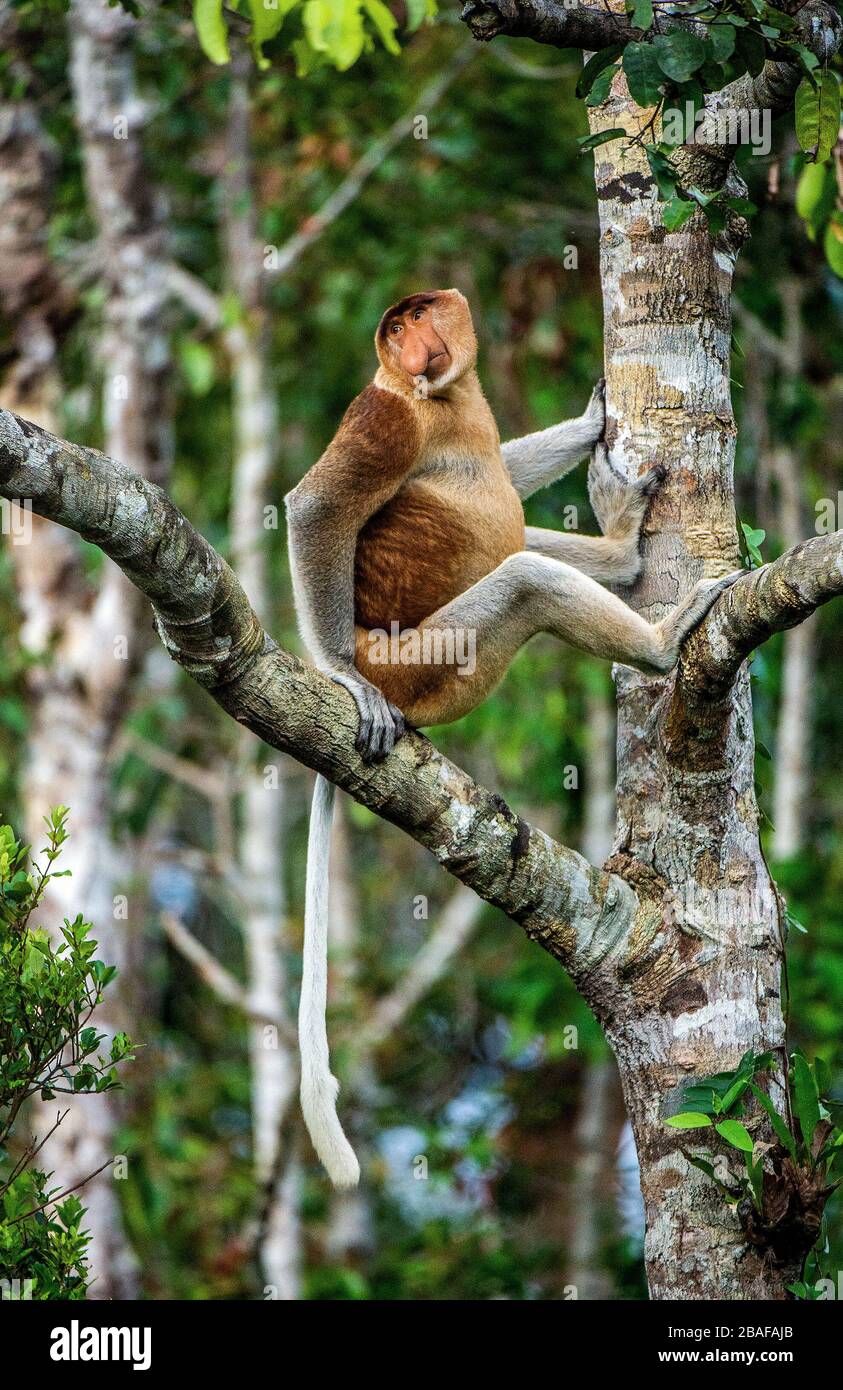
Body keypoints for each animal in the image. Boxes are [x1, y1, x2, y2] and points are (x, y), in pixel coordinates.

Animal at [285, 288, 739, 1187]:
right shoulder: (384, 416)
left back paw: (623, 553)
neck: (441, 400)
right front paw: (342, 680)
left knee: (521, 540)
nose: (413, 349)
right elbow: (314, 507)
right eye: (394, 330)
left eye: (418, 316)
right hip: (432, 660)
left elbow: (501, 463)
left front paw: (591, 417)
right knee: (524, 576)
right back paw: (659, 636)